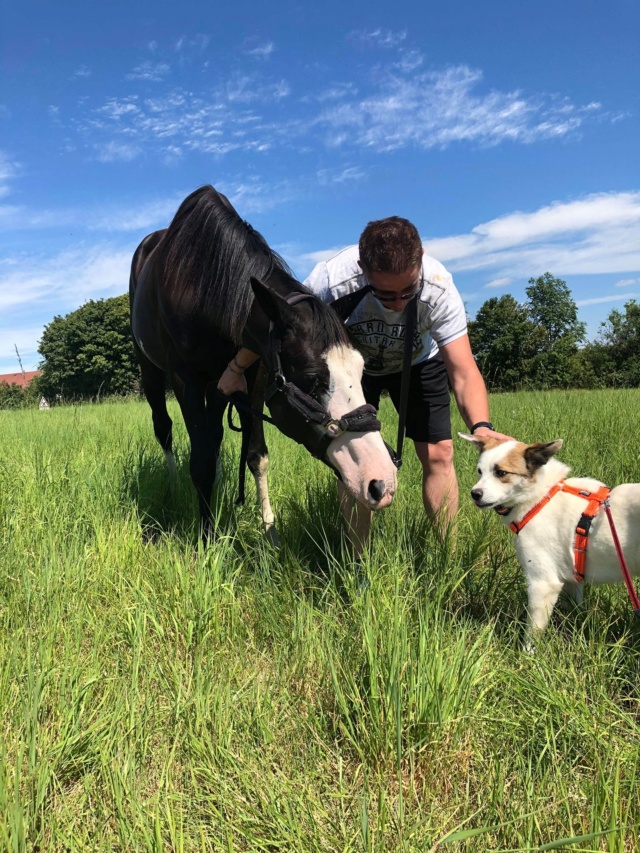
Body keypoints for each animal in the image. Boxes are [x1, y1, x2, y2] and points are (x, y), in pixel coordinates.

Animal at [128, 185, 398, 540]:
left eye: (361, 369)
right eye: (312, 378)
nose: (382, 481)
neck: (204, 282)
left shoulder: (252, 377)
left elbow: (255, 455)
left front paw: (268, 528)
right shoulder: (185, 380)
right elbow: (200, 461)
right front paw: (206, 535)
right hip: (151, 372)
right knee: (165, 429)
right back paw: (173, 489)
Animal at [460, 432, 640, 644]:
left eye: (501, 473)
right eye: (480, 471)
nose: (474, 494)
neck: (540, 497)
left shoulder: (543, 584)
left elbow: (532, 634)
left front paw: (527, 653)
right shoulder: (572, 582)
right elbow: (575, 616)